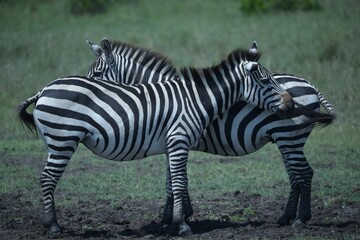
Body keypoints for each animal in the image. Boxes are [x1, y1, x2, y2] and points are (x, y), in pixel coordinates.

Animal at [16, 47, 294, 237]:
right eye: (266, 80)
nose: (291, 104)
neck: (195, 100)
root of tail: (44, 89)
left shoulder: (173, 144)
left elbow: (174, 182)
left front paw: (174, 220)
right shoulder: (179, 140)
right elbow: (179, 183)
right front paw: (183, 225)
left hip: (57, 142)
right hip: (63, 140)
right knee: (47, 178)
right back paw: (53, 226)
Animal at [86, 38, 336, 226]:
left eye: (96, 75)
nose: (88, 92)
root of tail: (310, 84)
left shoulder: (175, 139)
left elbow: (174, 180)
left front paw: (176, 216)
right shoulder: (172, 141)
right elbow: (173, 179)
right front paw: (179, 214)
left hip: (289, 138)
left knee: (304, 174)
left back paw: (300, 219)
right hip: (287, 140)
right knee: (295, 176)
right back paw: (286, 217)